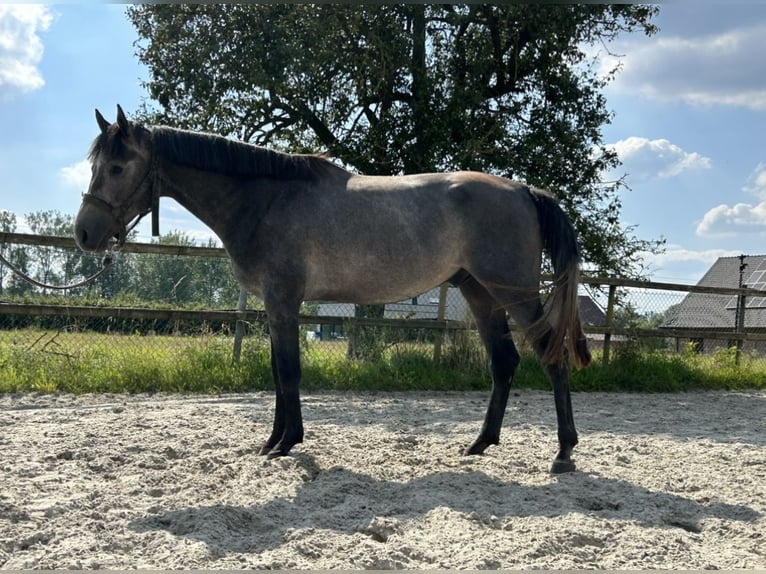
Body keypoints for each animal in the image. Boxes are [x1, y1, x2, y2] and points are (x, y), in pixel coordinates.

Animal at [75, 106, 592, 474]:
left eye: (117, 167)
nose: (84, 234)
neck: (265, 199)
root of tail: (524, 191)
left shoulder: (284, 302)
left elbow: (289, 371)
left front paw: (287, 442)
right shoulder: (274, 308)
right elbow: (277, 372)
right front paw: (272, 441)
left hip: (516, 293)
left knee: (551, 356)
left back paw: (564, 453)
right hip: (481, 293)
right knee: (503, 363)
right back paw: (479, 443)